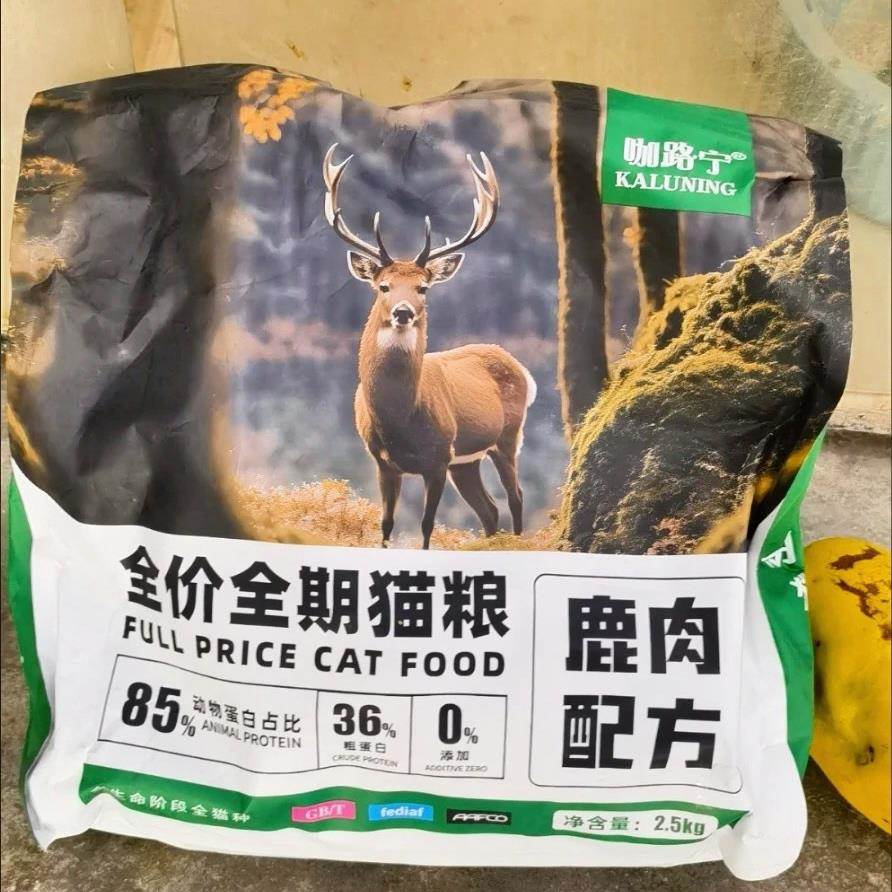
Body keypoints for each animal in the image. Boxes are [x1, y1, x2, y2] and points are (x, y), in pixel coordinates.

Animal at [322, 143, 536, 549]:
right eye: (384, 286)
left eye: (422, 287)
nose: (403, 312)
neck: (399, 421)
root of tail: (520, 367)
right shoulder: (382, 461)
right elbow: (386, 523)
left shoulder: (437, 457)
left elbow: (425, 525)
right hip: (466, 460)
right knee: (490, 509)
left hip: (506, 435)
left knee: (515, 497)